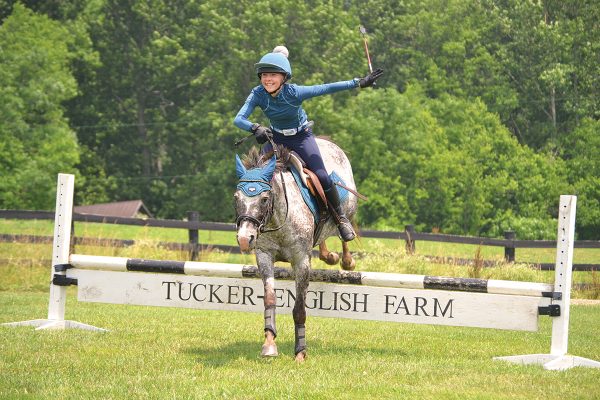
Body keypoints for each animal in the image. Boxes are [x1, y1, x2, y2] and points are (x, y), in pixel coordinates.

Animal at [233, 138, 356, 362]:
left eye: (264, 199)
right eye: (236, 197)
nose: (245, 239)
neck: (278, 217)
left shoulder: (301, 261)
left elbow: (299, 308)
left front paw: (300, 352)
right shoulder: (264, 256)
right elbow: (270, 299)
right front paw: (269, 344)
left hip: (347, 207)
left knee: (343, 223)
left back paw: (346, 257)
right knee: (322, 238)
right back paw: (329, 256)